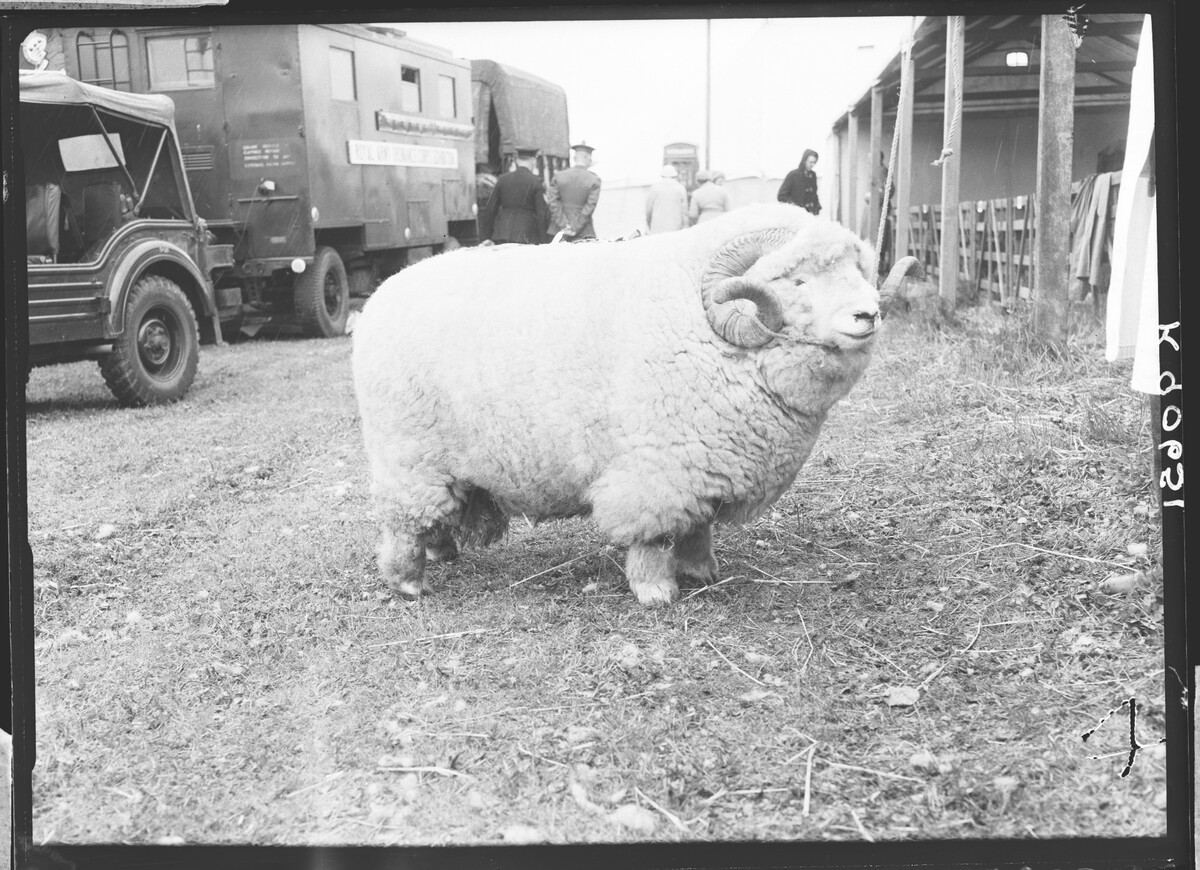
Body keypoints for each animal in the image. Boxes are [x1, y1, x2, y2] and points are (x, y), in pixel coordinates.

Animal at [350, 200, 921, 600]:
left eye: (857, 272)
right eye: (798, 280)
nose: (868, 315)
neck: (704, 322)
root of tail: (381, 296)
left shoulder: (703, 461)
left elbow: (698, 527)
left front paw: (701, 571)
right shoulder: (659, 466)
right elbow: (652, 536)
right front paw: (656, 590)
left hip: (441, 463)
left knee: (433, 513)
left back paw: (443, 552)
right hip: (407, 454)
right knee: (401, 522)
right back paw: (408, 581)